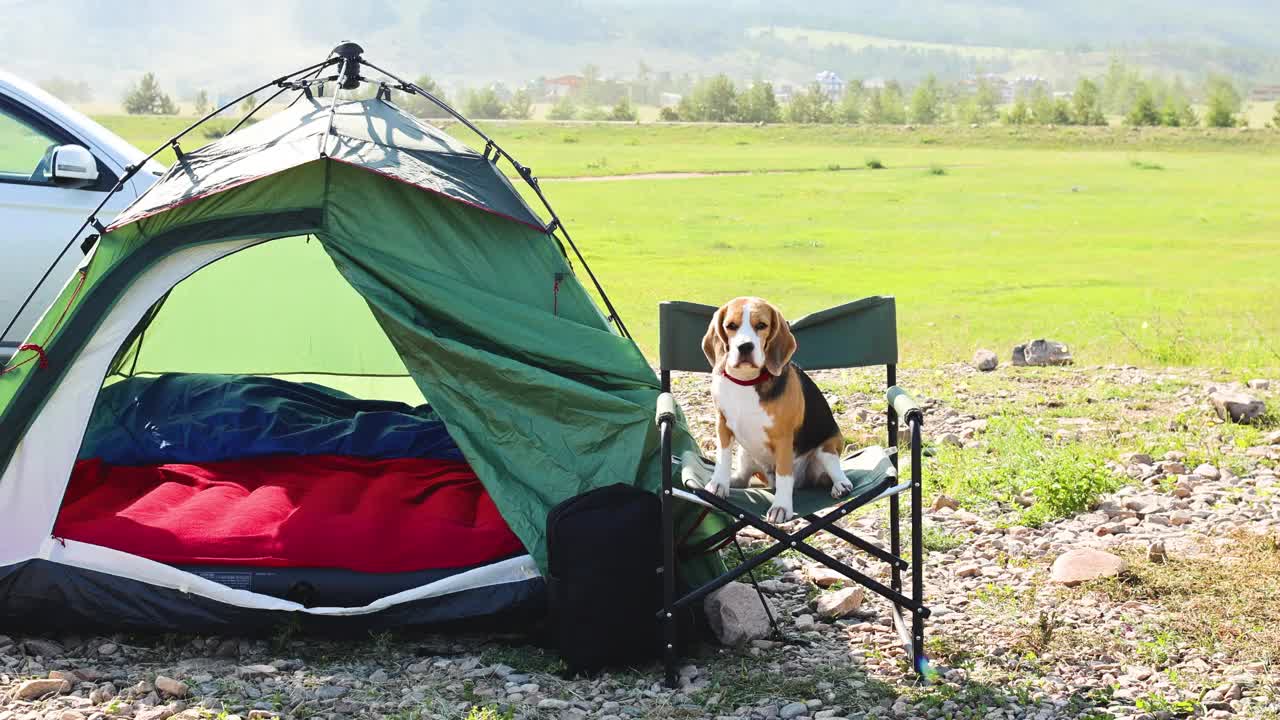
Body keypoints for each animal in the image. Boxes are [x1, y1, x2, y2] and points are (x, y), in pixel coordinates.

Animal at [701, 297, 849, 520]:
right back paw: (733, 480)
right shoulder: (723, 426)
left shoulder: (783, 437)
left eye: (761, 325)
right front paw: (719, 484)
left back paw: (841, 485)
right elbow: (722, 458)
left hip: (827, 449)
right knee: (743, 478)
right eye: (731, 326)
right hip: (745, 452)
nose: (745, 346)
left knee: (833, 470)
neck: (746, 382)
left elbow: (784, 475)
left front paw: (781, 507)